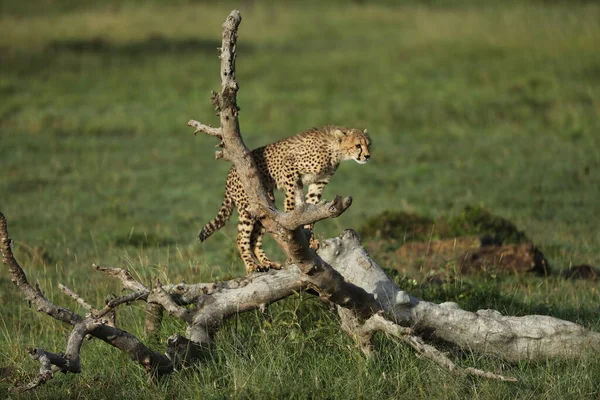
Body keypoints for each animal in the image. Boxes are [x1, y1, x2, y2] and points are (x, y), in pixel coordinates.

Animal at [199, 126, 372, 274]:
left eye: (368, 144)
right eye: (358, 145)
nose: (367, 156)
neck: (334, 150)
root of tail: (230, 172)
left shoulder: (318, 183)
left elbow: (311, 211)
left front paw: (310, 240)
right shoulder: (289, 166)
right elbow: (290, 199)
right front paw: (291, 219)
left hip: (264, 204)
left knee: (255, 238)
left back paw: (267, 263)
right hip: (247, 207)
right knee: (241, 238)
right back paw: (251, 266)